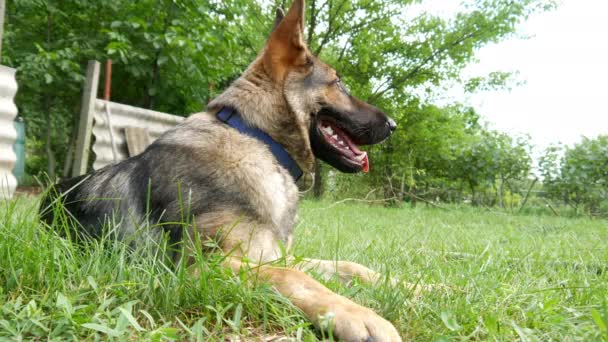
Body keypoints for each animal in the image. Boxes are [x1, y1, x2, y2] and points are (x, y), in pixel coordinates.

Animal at [41, 1, 404, 340]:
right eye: (339, 84)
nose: (393, 125)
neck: (258, 140)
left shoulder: (275, 254)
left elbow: (352, 267)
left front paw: (412, 287)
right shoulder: (204, 266)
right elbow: (295, 276)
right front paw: (360, 316)